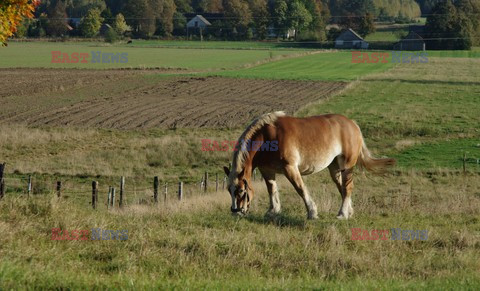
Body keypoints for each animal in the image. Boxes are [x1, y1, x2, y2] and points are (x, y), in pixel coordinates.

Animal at [223, 112, 396, 221]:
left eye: (241, 191)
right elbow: (272, 190)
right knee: (342, 187)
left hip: (347, 166)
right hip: (335, 169)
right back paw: (349, 211)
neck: (267, 136)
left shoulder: (290, 168)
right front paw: (273, 211)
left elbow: (300, 189)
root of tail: (352, 124)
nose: (235, 212)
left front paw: (312, 213)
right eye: (229, 190)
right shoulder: (267, 170)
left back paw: (342, 214)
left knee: (348, 187)